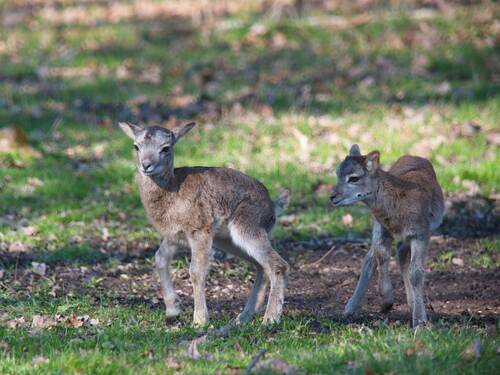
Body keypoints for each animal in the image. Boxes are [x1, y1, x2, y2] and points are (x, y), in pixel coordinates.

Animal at [118, 122, 290, 328]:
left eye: (166, 148)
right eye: (136, 146)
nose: (146, 165)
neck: (172, 190)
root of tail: (274, 207)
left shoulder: (199, 229)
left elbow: (196, 271)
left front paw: (199, 321)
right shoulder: (175, 236)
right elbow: (159, 258)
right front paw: (172, 312)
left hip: (247, 226)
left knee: (278, 264)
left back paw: (269, 319)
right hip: (227, 240)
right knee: (261, 266)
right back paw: (241, 318)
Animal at [330, 145, 444, 328]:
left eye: (354, 178)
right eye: (337, 173)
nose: (333, 197)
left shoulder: (421, 233)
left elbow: (416, 272)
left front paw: (420, 322)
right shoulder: (382, 228)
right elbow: (381, 255)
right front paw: (386, 302)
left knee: (401, 253)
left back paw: (412, 303)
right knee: (372, 257)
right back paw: (350, 309)